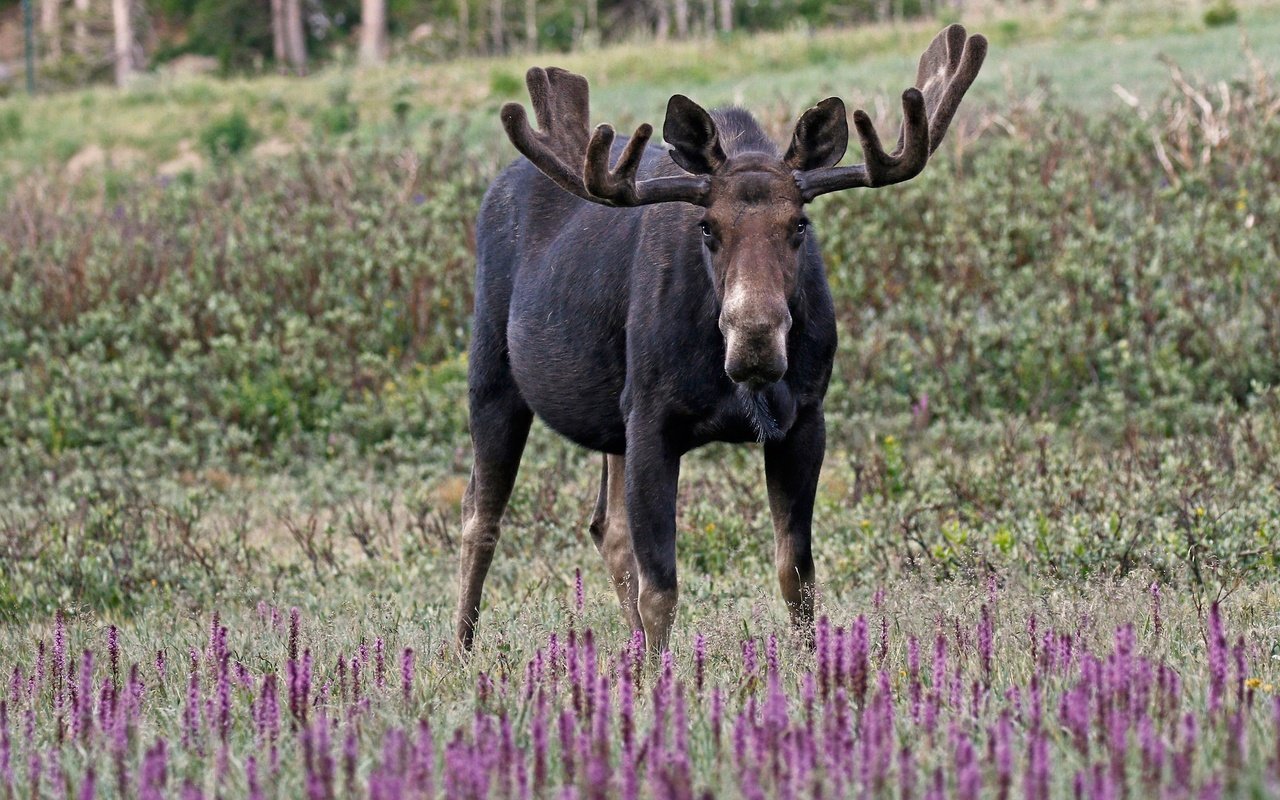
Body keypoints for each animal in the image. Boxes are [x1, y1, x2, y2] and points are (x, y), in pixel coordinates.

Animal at [455, 24, 983, 655]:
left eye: (799, 224)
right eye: (707, 227)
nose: (755, 337)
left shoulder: (805, 417)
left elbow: (796, 573)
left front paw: (814, 664)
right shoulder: (651, 418)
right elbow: (661, 588)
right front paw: (660, 675)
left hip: (610, 418)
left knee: (606, 528)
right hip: (493, 375)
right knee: (480, 518)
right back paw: (462, 649)